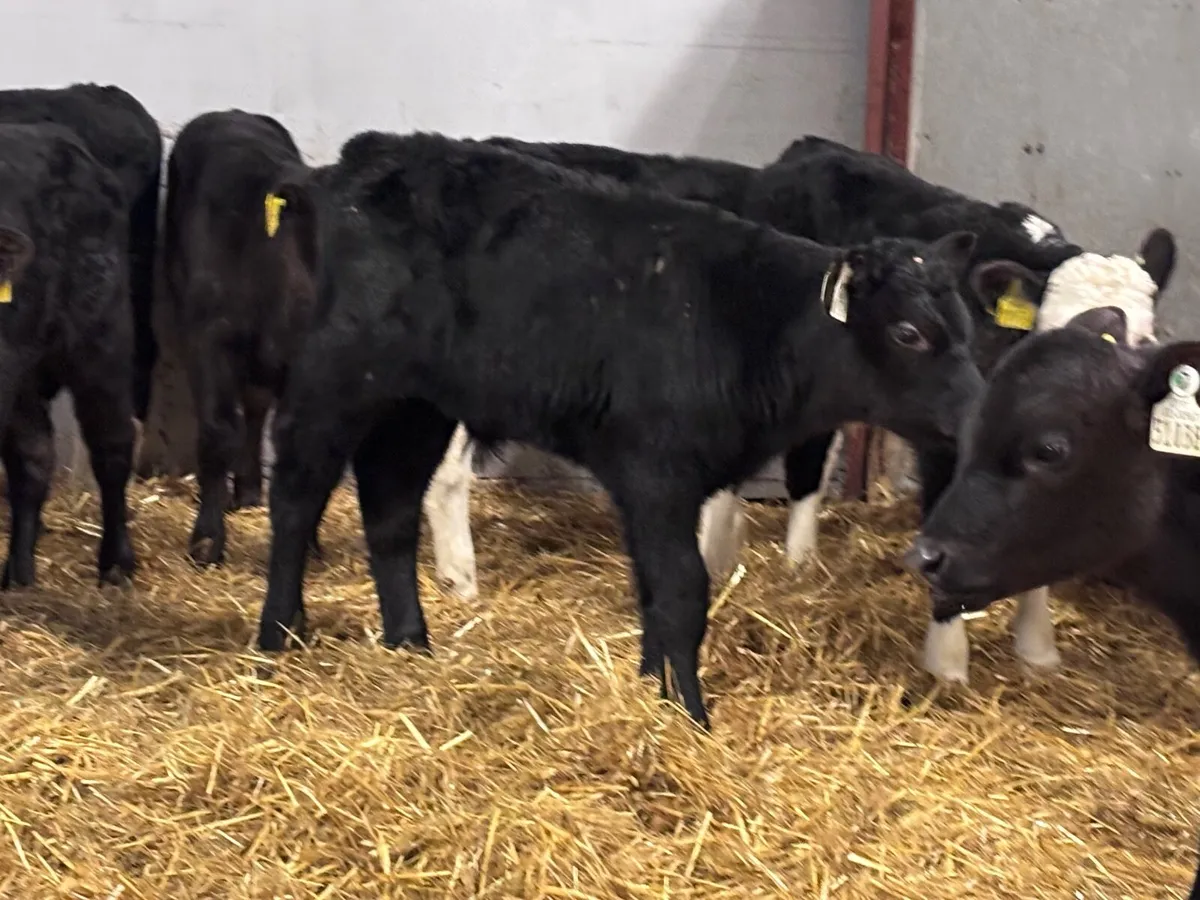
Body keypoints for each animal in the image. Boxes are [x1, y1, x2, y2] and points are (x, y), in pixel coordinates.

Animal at [163, 110, 478, 598]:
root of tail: (231, 113)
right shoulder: (207, 338)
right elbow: (218, 432)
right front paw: (207, 542)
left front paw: (306, 543)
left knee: (257, 409)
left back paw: (249, 491)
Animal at [254, 130, 984, 728]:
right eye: (909, 332)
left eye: (966, 325)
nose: (979, 409)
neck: (751, 322)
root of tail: (366, 154)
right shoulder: (658, 471)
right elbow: (683, 589)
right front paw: (690, 715)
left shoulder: (654, 481)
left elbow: (655, 590)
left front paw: (653, 692)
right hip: (338, 372)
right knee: (297, 489)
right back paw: (277, 638)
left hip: (420, 402)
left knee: (392, 504)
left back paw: (410, 641)